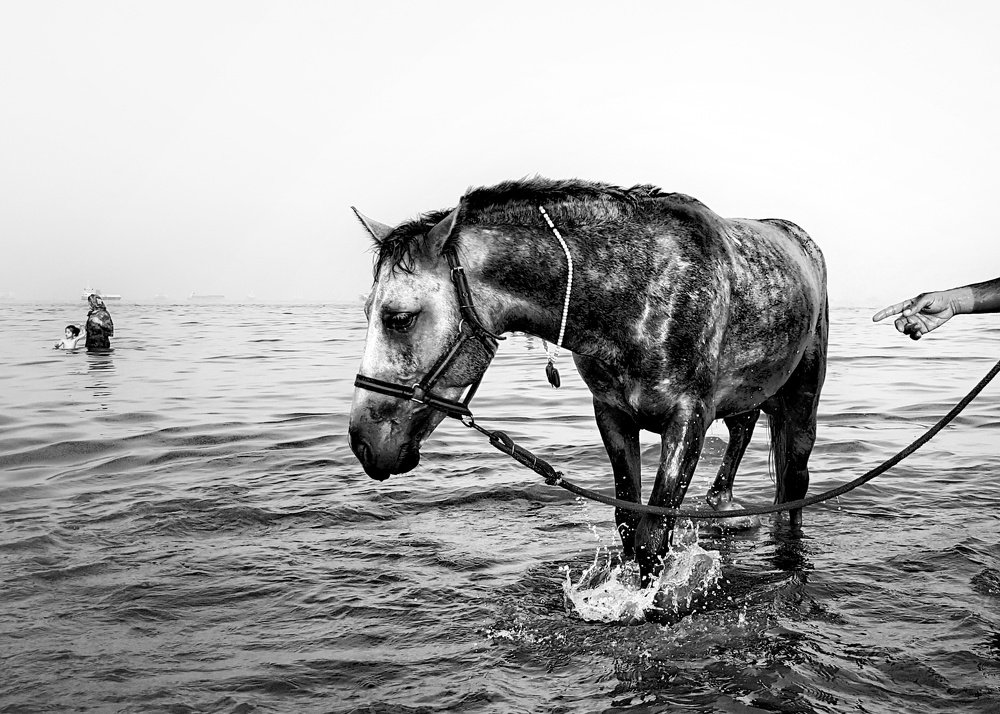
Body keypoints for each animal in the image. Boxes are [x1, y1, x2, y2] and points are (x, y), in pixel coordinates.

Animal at [348, 178, 828, 583]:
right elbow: (628, 523)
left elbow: (653, 535)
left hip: (802, 402)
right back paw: (725, 503)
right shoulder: (612, 416)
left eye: (399, 318)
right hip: (746, 396)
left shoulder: (688, 418)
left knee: (795, 483)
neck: (637, 293)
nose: (362, 443)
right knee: (743, 433)